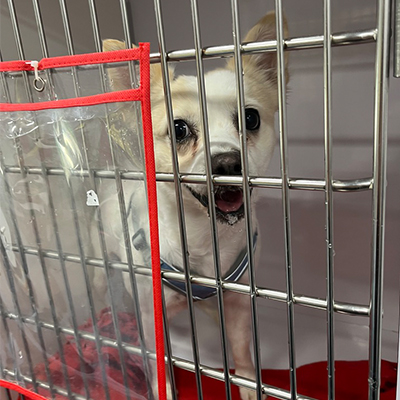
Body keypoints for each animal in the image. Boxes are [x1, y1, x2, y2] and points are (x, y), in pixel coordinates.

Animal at [97, 10, 290, 398]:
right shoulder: (151, 316)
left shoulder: (237, 302)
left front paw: (247, 383)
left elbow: (242, 349)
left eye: (251, 119)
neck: (205, 236)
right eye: (179, 129)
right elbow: (158, 360)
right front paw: (164, 389)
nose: (227, 163)